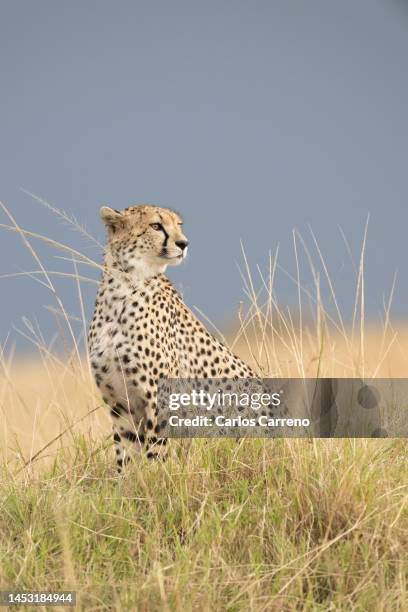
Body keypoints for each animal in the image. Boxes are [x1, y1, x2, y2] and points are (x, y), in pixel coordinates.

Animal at [87, 206, 256, 474]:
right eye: (156, 226)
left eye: (178, 225)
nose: (184, 243)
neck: (123, 287)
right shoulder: (120, 404)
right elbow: (125, 455)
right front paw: (127, 484)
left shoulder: (161, 397)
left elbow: (156, 451)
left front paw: (157, 478)